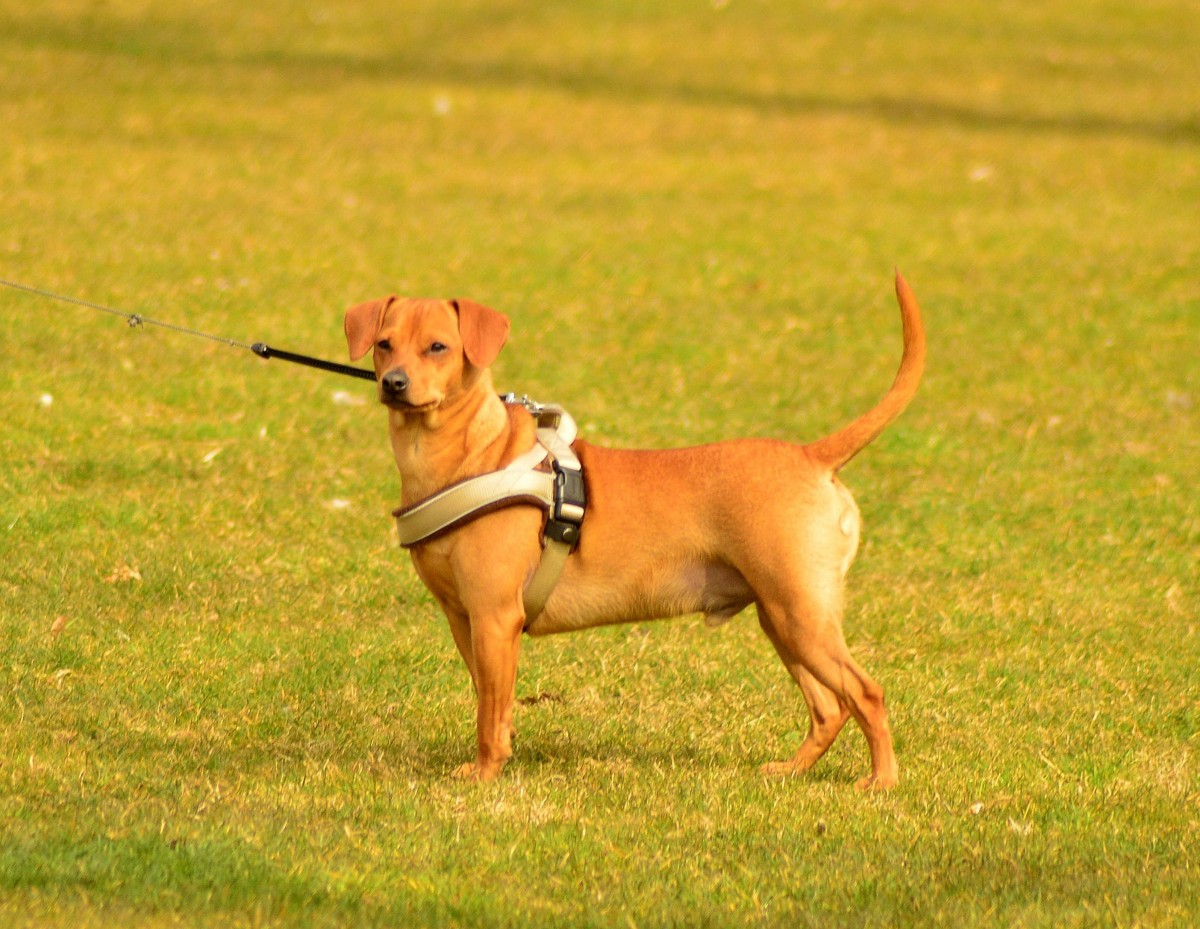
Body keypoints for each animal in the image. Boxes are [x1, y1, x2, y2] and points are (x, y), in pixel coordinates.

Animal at [343, 276, 921, 792]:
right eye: (384, 343)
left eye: (438, 346)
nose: (393, 383)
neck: (465, 456)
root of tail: (811, 456)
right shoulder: (465, 621)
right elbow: (494, 702)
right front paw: (498, 758)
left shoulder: (495, 616)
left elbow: (489, 713)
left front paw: (486, 774)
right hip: (782, 619)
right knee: (828, 707)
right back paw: (792, 770)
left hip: (800, 616)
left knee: (866, 694)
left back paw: (882, 781)